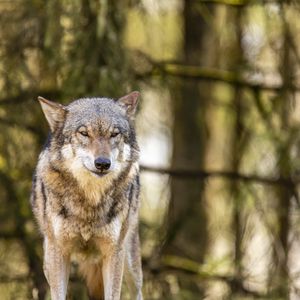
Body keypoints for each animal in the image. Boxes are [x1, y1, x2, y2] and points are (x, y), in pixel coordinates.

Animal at [30, 92, 143, 300]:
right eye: (84, 133)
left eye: (114, 134)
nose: (102, 163)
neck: (89, 201)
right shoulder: (57, 252)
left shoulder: (114, 252)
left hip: (130, 265)